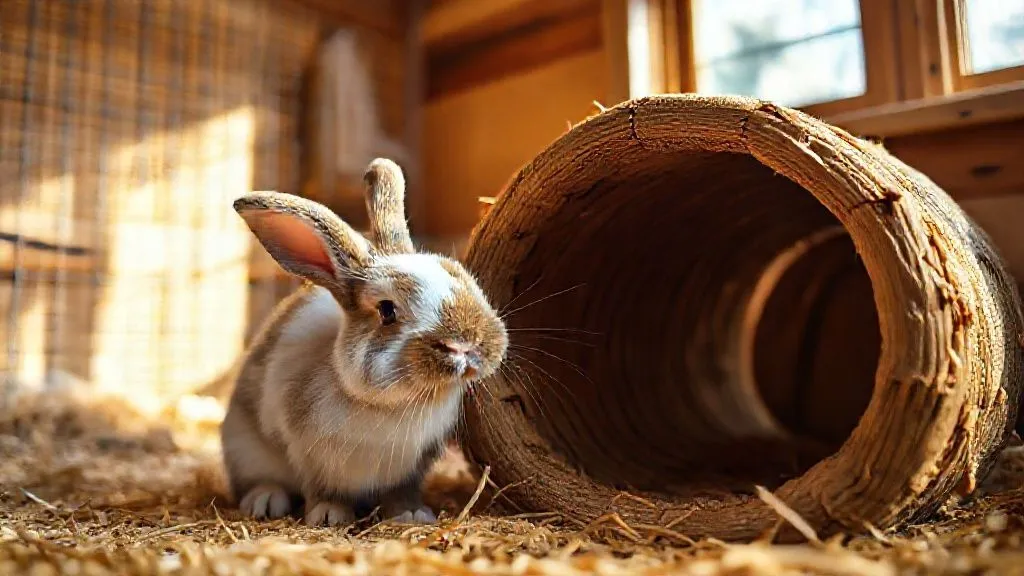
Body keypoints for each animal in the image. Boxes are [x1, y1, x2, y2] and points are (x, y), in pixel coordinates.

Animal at [220, 158, 508, 526]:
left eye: (458, 273)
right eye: (387, 310)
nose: (467, 346)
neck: (394, 405)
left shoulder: (411, 468)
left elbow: (401, 492)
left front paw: (413, 514)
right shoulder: (309, 456)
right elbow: (321, 489)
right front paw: (329, 516)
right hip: (243, 448)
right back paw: (265, 500)